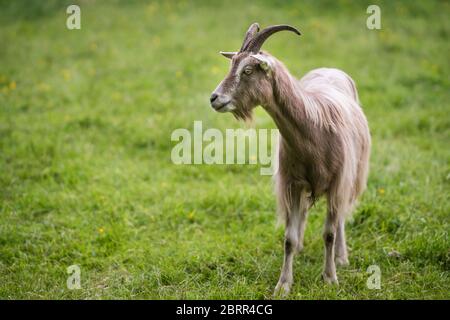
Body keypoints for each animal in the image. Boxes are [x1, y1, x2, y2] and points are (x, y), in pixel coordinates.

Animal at [209, 23, 370, 298]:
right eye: (232, 65)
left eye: (248, 70)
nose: (214, 98)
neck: (315, 132)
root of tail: (330, 69)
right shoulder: (292, 183)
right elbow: (289, 238)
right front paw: (283, 284)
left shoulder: (338, 181)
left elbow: (329, 233)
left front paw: (330, 278)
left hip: (352, 176)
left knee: (340, 218)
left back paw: (341, 257)